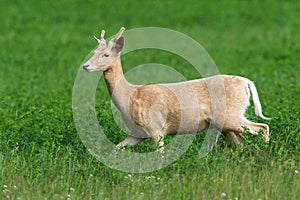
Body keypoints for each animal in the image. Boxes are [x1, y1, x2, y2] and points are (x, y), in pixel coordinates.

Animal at [83, 27, 270, 150]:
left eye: (106, 55)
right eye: (93, 52)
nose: (86, 65)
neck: (130, 96)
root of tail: (246, 82)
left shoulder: (155, 128)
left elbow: (160, 154)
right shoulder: (137, 133)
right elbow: (116, 148)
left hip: (231, 115)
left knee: (262, 128)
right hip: (225, 123)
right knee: (241, 143)